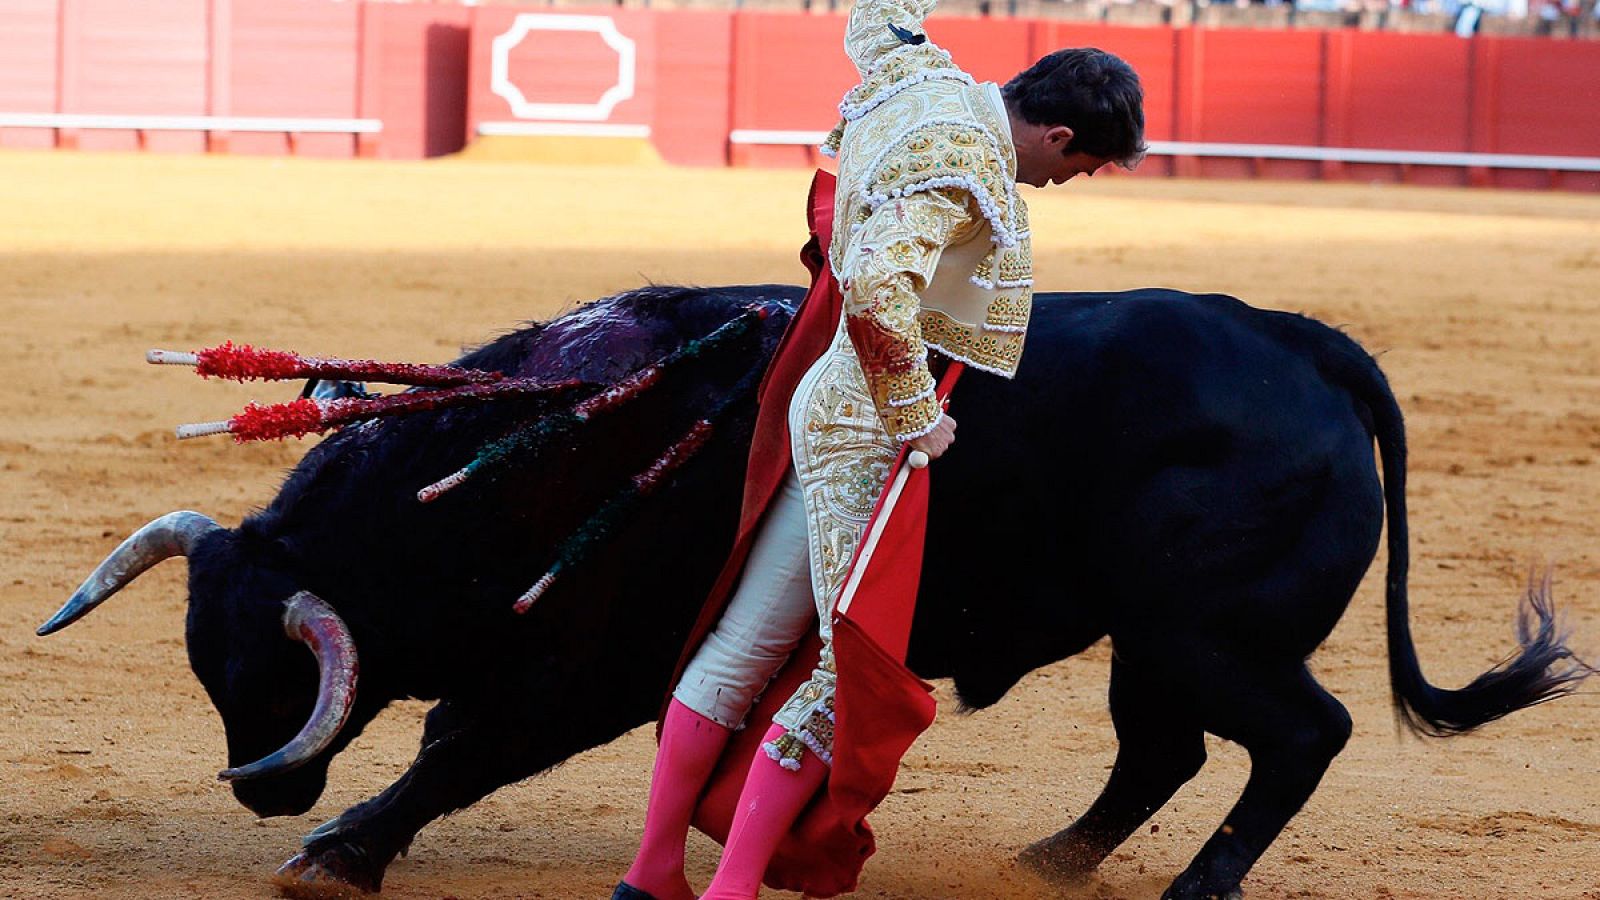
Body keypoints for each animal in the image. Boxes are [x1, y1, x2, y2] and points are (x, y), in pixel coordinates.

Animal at [40, 285, 1587, 896]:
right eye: (206, 664)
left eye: (271, 669)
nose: (263, 789)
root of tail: (1299, 339)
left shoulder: (593, 665)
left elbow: (462, 746)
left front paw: (341, 850)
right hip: (1155, 642)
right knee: (1167, 750)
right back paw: (1051, 862)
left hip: (1202, 634)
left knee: (1301, 736)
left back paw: (1195, 887)